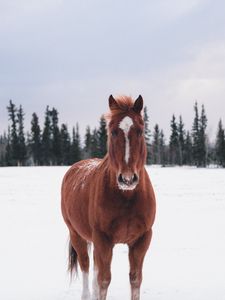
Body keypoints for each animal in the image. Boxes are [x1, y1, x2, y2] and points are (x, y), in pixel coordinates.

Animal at [61, 95, 156, 300]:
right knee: (86, 266)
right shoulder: (103, 240)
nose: (127, 178)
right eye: (112, 132)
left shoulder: (142, 239)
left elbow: (135, 280)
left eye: (140, 131)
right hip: (77, 234)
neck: (126, 197)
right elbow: (104, 281)